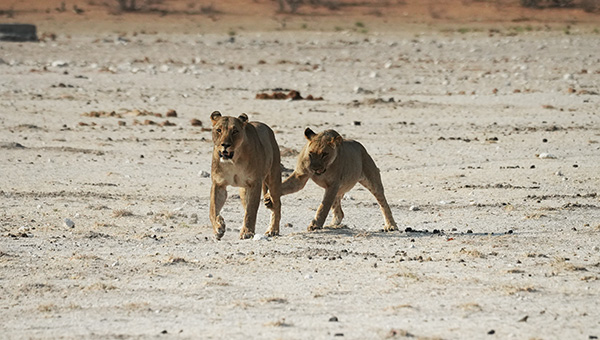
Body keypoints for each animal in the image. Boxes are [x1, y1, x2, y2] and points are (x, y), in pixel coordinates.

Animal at [210, 111, 282, 239]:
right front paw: (219, 228)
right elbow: (213, 210)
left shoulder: (255, 183)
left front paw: (247, 232)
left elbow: (251, 210)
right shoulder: (218, 184)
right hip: (243, 190)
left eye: (235, 131)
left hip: (273, 177)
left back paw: (273, 230)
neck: (233, 161)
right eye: (219, 130)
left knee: (277, 205)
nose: (225, 145)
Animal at [264, 127, 396, 231]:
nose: (315, 168)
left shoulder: (333, 184)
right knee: (339, 212)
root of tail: (362, 148)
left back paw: (391, 226)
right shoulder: (300, 177)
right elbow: (285, 186)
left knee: (383, 203)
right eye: (311, 153)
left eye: (324, 154)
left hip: (372, 179)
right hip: (336, 190)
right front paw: (268, 198)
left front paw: (315, 225)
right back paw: (333, 225)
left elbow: (324, 206)